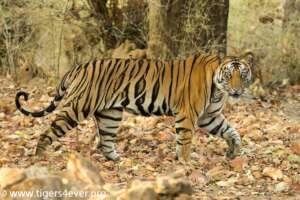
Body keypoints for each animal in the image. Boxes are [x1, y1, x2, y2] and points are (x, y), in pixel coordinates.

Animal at [14, 52, 253, 163]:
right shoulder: (187, 115)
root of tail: (78, 67)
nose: (236, 91)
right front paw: (185, 162)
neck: (218, 88)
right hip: (77, 107)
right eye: (229, 75)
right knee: (49, 130)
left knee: (105, 142)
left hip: (110, 115)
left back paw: (118, 160)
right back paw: (39, 157)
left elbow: (232, 132)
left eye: (242, 75)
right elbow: (185, 140)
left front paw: (234, 151)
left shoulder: (209, 116)